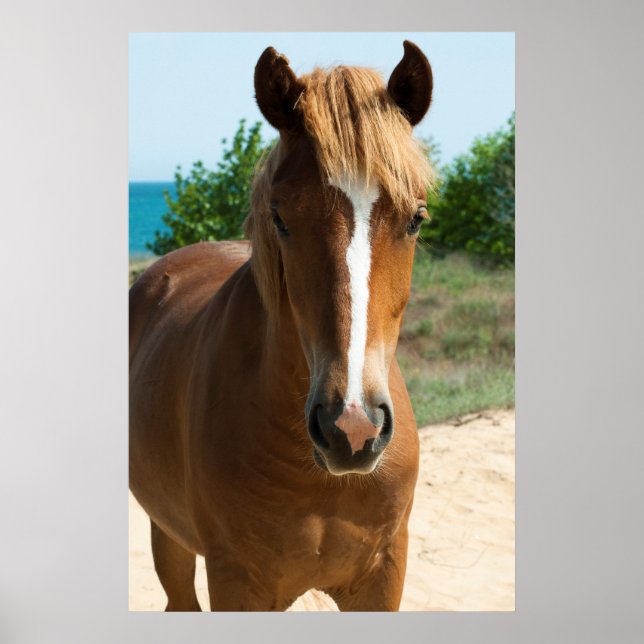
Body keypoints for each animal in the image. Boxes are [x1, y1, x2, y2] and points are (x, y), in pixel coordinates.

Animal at [129, 40, 436, 611]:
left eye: (416, 218)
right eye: (280, 218)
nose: (352, 429)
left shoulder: (382, 576)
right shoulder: (236, 582)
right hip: (170, 535)